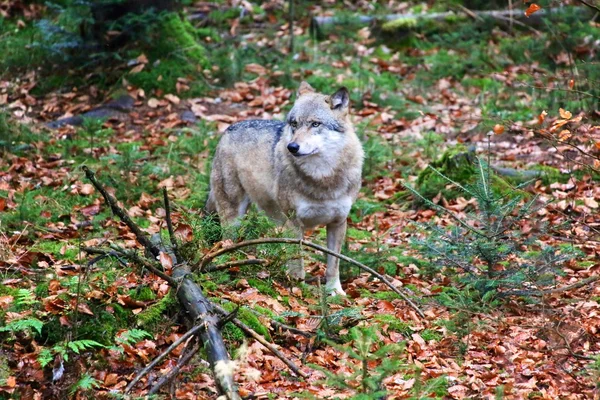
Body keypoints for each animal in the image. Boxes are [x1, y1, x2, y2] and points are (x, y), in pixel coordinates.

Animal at [206, 81, 366, 296]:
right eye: (294, 124)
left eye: (315, 124)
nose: (292, 147)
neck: (323, 179)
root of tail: (228, 129)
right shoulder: (294, 222)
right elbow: (298, 262)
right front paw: (299, 291)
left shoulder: (338, 222)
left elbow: (334, 264)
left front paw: (335, 292)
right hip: (234, 215)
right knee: (226, 242)